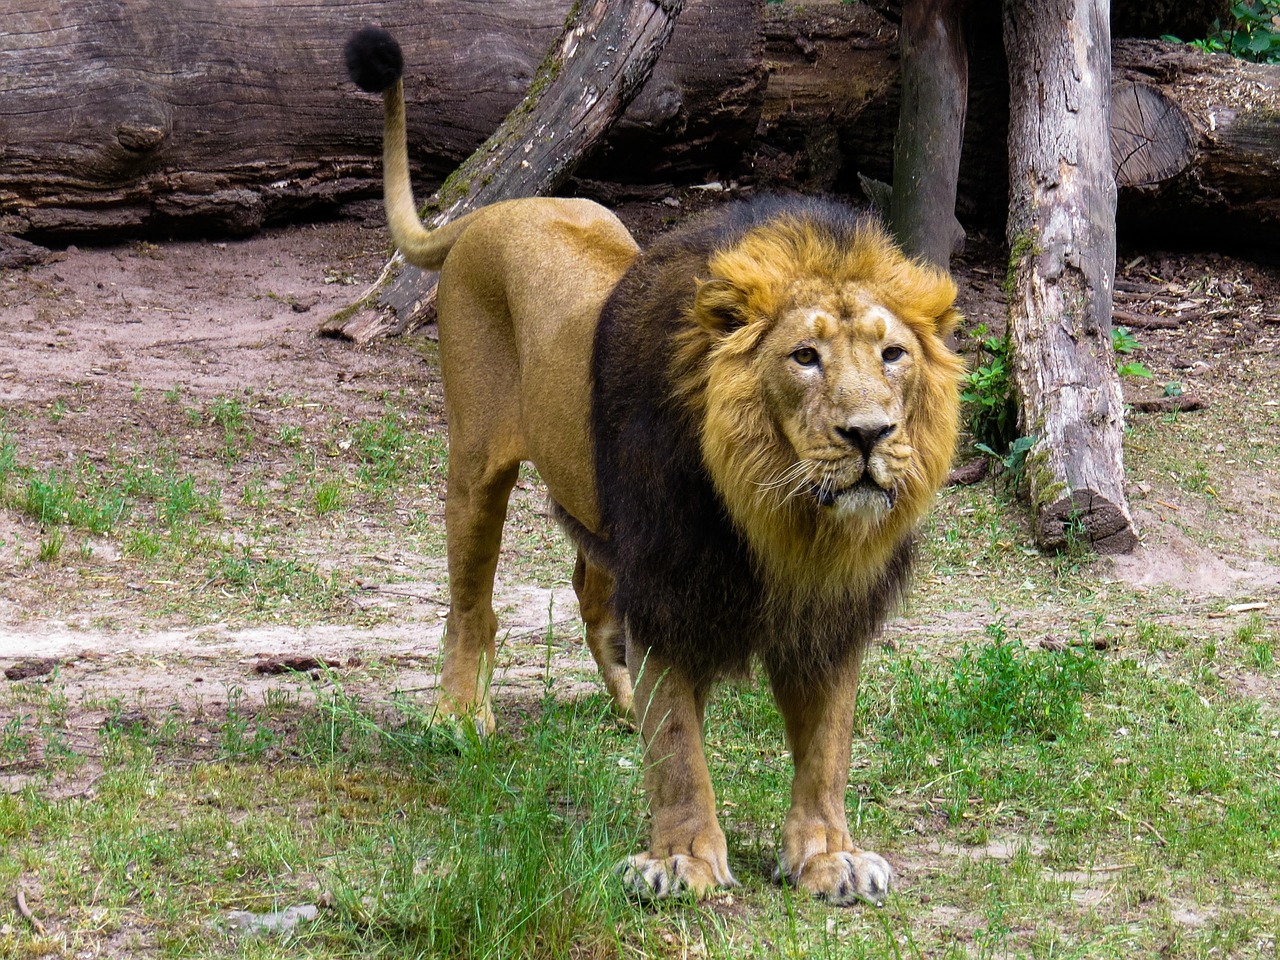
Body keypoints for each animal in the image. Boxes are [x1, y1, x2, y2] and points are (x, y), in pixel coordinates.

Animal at [345, 26, 964, 906]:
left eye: (893, 355)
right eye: (804, 357)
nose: (869, 434)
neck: (780, 516)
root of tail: (499, 209)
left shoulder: (830, 609)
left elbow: (827, 746)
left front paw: (828, 857)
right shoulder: (672, 580)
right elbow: (677, 745)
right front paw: (682, 861)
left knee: (589, 590)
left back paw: (616, 698)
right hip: (475, 463)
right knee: (472, 602)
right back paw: (460, 717)